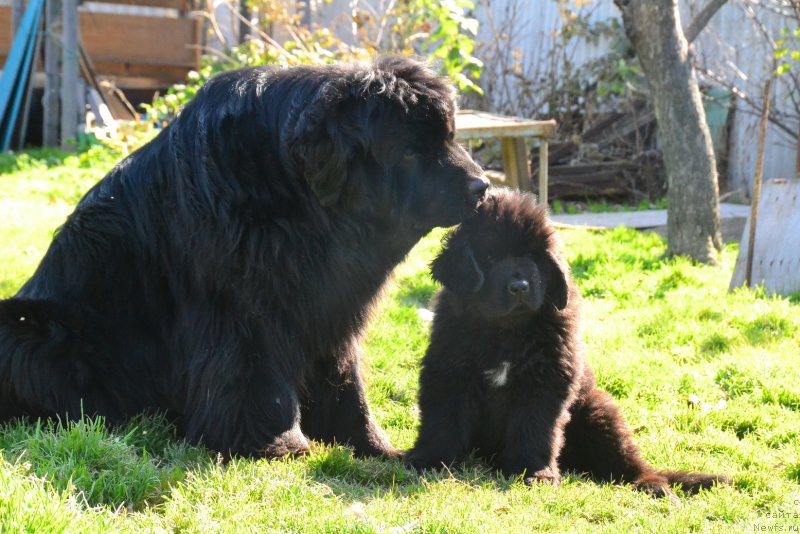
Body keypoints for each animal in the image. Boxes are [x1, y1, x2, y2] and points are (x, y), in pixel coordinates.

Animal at [0, 58, 488, 460]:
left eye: (450, 138)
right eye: (409, 151)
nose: (482, 186)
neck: (297, 201)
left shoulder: (330, 309)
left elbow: (344, 379)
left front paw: (370, 445)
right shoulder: (240, 310)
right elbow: (254, 378)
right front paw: (275, 445)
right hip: (30, 330)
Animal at [410, 189, 728, 498]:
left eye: (533, 256)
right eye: (489, 257)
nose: (520, 287)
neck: (507, 331)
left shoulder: (546, 380)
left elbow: (535, 428)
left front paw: (534, 473)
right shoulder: (450, 371)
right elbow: (444, 421)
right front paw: (429, 459)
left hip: (600, 413)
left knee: (632, 466)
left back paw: (654, 485)